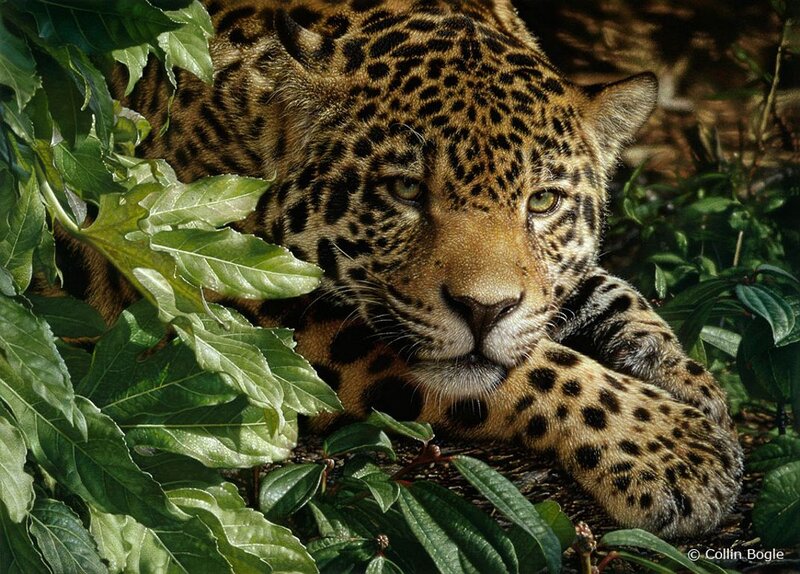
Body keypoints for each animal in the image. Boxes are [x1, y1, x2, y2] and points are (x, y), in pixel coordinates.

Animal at [90, 0, 744, 539]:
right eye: (405, 190)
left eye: (541, 202)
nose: (484, 311)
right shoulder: (217, 289)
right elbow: (534, 367)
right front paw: (671, 448)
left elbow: (606, 292)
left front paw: (687, 379)